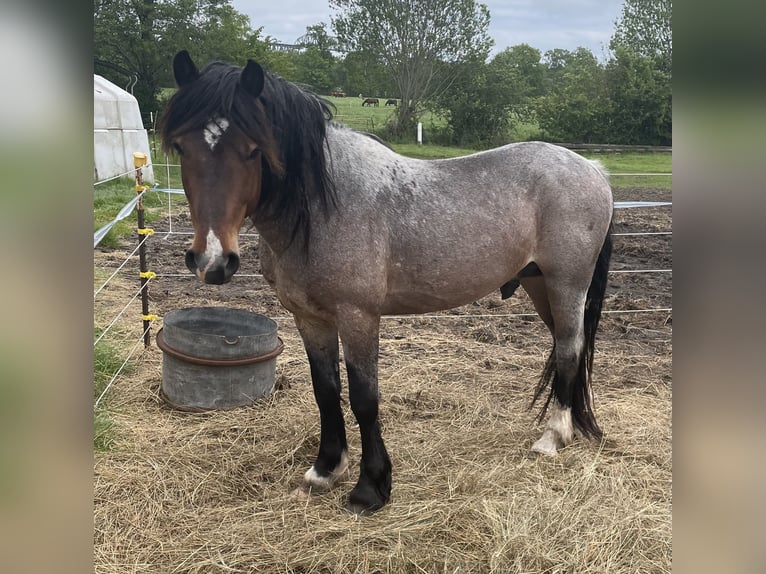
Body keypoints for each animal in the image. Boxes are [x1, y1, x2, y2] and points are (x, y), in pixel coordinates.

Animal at [162, 50, 616, 516]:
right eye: (180, 147)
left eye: (254, 150)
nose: (212, 261)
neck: (323, 207)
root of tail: (592, 169)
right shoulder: (310, 318)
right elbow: (326, 391)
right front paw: (325, 470)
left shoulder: (358, 316)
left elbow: (365, 398)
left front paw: (370, 488)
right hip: (539, 285)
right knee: (567, 348)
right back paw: (570, 429)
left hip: (567, 284)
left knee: (569, 349)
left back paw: (552, 438)